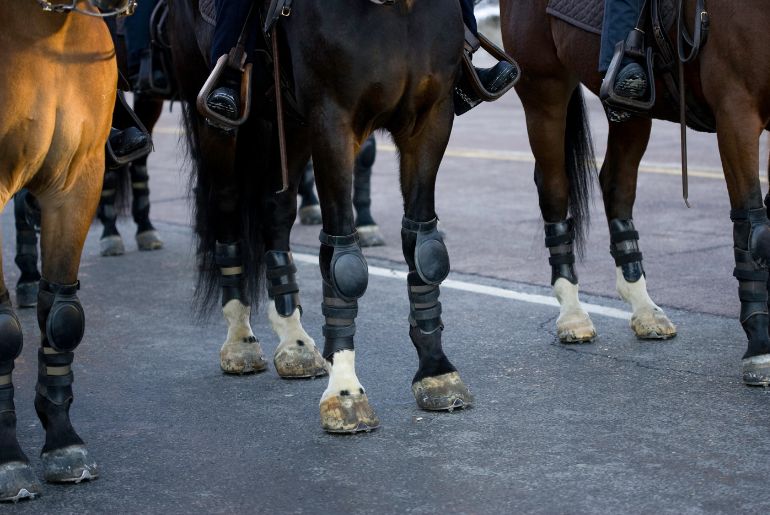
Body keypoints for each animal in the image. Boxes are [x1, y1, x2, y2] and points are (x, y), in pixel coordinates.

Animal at [170, 0, 474, 434]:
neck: (398, 11)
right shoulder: (333, 123)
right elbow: (344, 260)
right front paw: (345, 391)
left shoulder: (431, 119)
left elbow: (424, 248)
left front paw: (436, 371)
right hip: (220, 127)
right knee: (226, 208)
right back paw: (240, 340)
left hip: (291, 125)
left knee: (275, 212)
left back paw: (293, 341)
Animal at [498, 1, 770, 388]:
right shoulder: (737, 115)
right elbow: (753, 227)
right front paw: (760, 348)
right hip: (544, 90)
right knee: (554, 188)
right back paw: (572, 313)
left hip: (632, 111)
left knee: (617, 185)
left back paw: (644, 309)